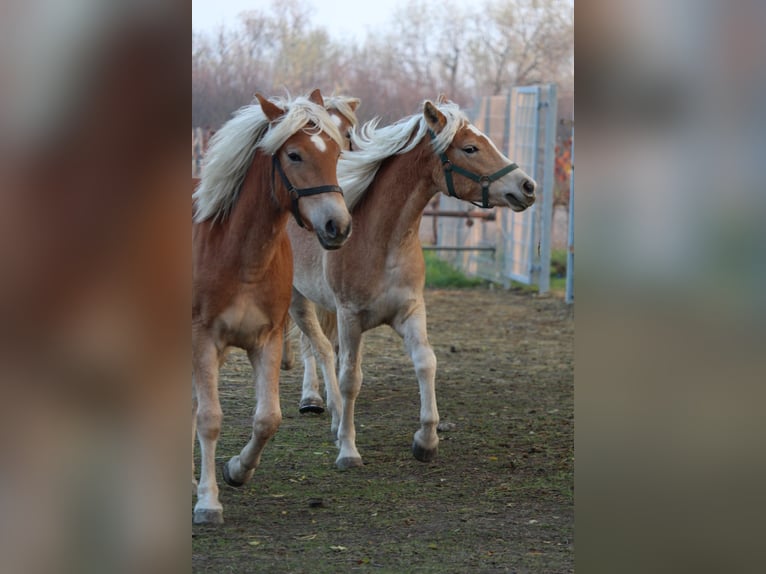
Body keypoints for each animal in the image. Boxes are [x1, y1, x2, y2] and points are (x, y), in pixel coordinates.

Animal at [190, 90, 352, 528]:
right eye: (294, 155)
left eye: (335, 150)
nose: (337, 225)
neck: (241, 256)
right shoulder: (203, 341)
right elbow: (210, 419)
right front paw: (208, 503)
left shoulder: (267, 340)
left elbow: (268, 419)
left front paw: (236, 470)